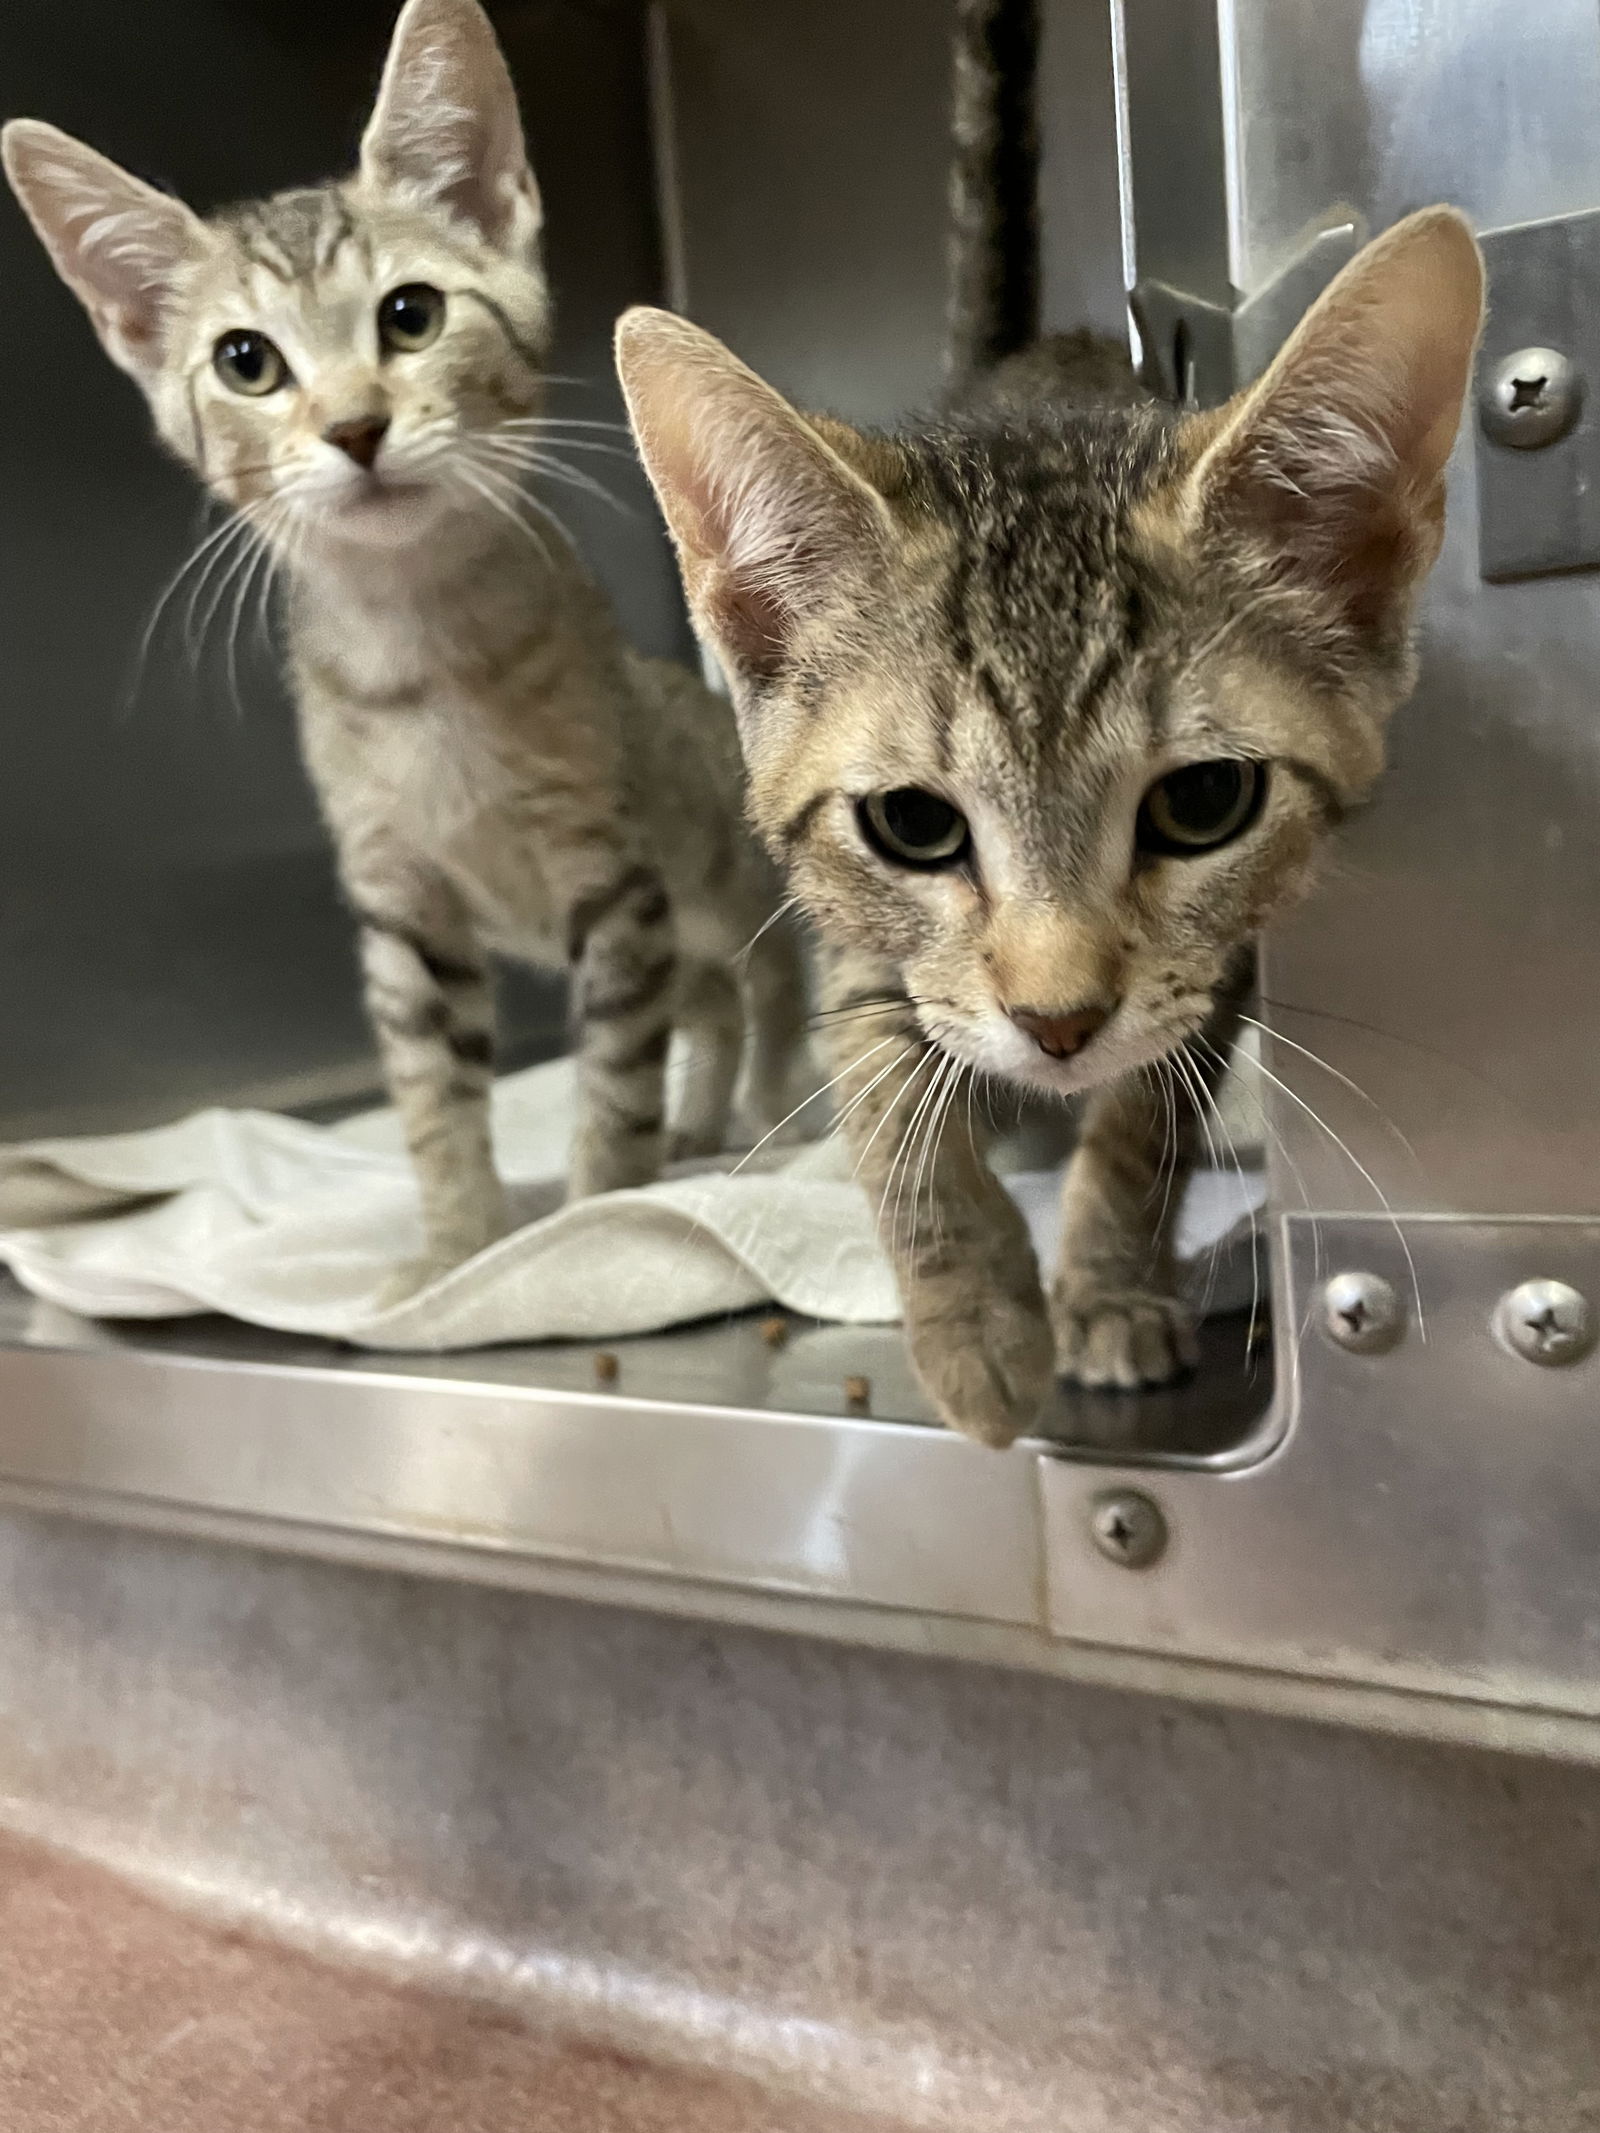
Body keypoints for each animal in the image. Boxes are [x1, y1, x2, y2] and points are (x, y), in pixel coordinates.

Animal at [0, 0, 802, 1279]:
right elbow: (432, 1096)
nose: (354, 427)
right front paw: (455, 1248)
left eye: (410, 314)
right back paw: (702, 1115)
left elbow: (610, 1079)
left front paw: (590, 1218)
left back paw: (767, 1100)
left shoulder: (611, 882)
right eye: (245, 361)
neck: (419, 652)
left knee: (765, 981)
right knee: (712, 1001)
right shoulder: (403, 905)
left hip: (709, 885)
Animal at [618, 0, 1493, 1450]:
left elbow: (1145, 1116)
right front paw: (975, 1320)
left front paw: (1106, 1286)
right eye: (912, 824)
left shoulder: (1225, 960)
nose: (1059, 1025)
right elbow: (885, 1091)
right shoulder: (848, 930)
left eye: (1202, 805)